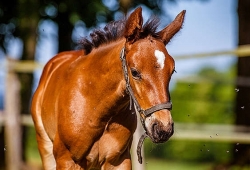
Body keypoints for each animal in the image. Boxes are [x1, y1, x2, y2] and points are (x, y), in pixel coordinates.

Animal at [31, 6, 185, 170]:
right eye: (135, 72)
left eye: (172, 71)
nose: (163, 129)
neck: (97, 110)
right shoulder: (66, 160)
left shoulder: (118, 160)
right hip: (45, 147)